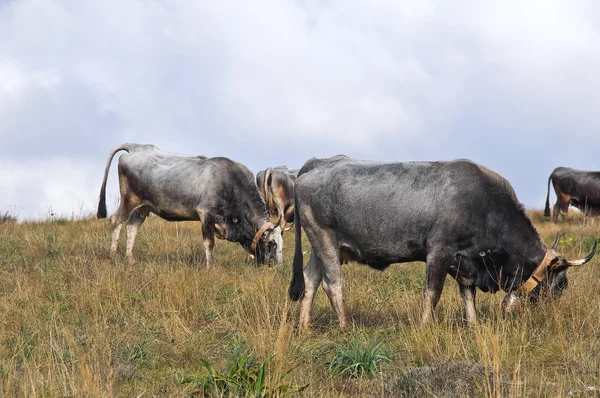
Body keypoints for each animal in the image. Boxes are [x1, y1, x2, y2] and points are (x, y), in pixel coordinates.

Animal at [96, 143, 284, 268]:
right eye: (272, 243)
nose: (277, 265)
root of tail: (136, 147)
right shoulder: (205, 214)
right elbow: (209, 243)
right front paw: (210, 267)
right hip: (129, 200)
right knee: (116, 220)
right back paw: (112, 255)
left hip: (143, 207)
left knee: (132, 228)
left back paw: (130, 259)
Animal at [288, 155, 592, 330]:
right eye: (561, 284)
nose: (550, 316)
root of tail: (318, 163)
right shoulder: (439, 252)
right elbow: (432, 294)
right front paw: (425, 326)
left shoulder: (465, 262)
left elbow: (467, 295)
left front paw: (473, 326)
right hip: (325, 240)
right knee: (332, 284)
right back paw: (344, 325)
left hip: (321, 246)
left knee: (311, 280)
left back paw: (304, 326)